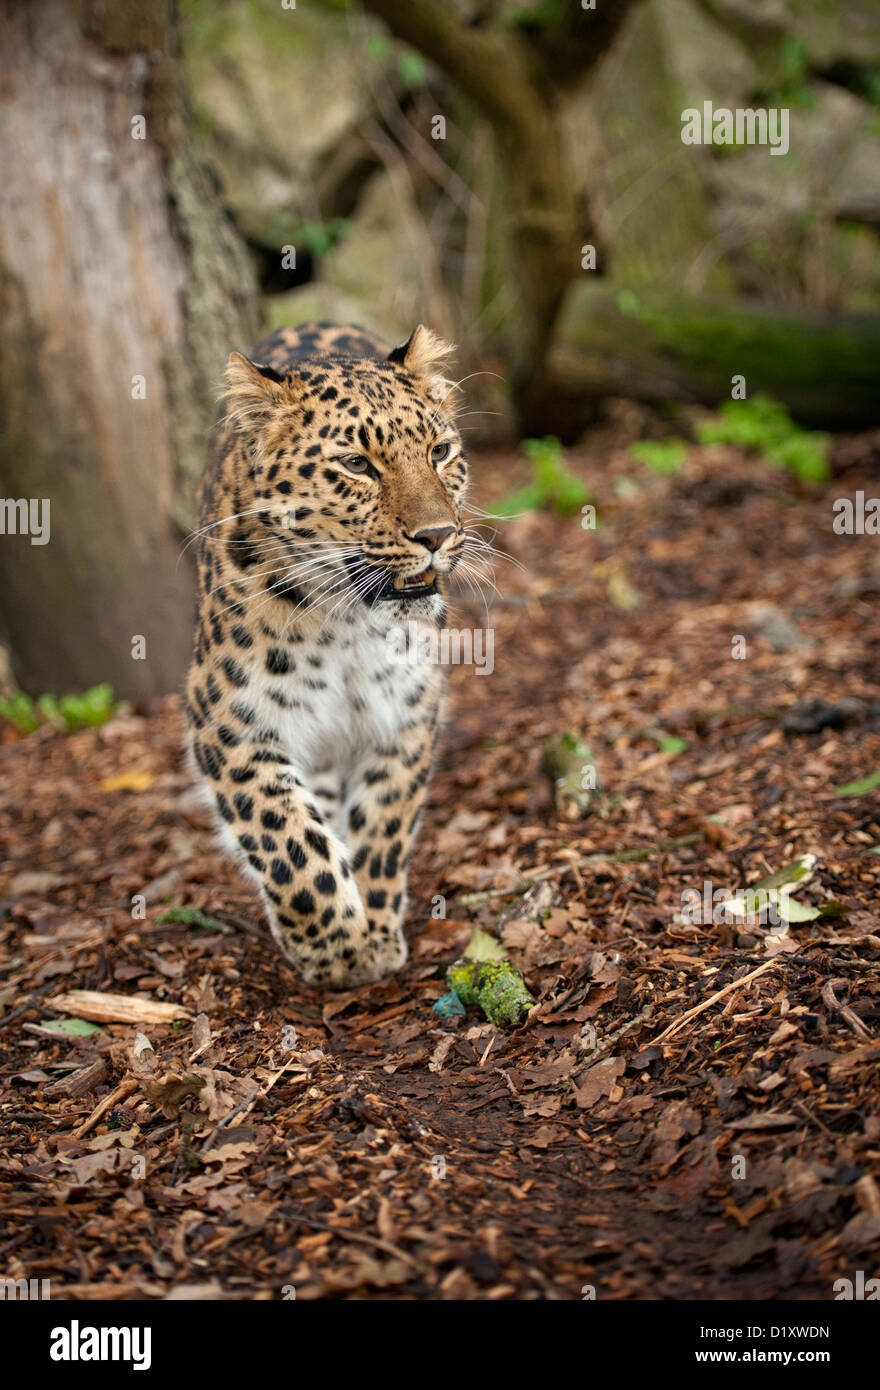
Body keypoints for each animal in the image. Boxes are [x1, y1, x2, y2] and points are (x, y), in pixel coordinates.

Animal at [184, 321, 469, 988]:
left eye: (440, 452)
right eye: (356, 465)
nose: (438, 535)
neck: (346, 622)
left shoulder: (406, 716)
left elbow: (384, 825)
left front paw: (377, 926)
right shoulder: (231, 726)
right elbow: (287, 838)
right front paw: (335, 946)